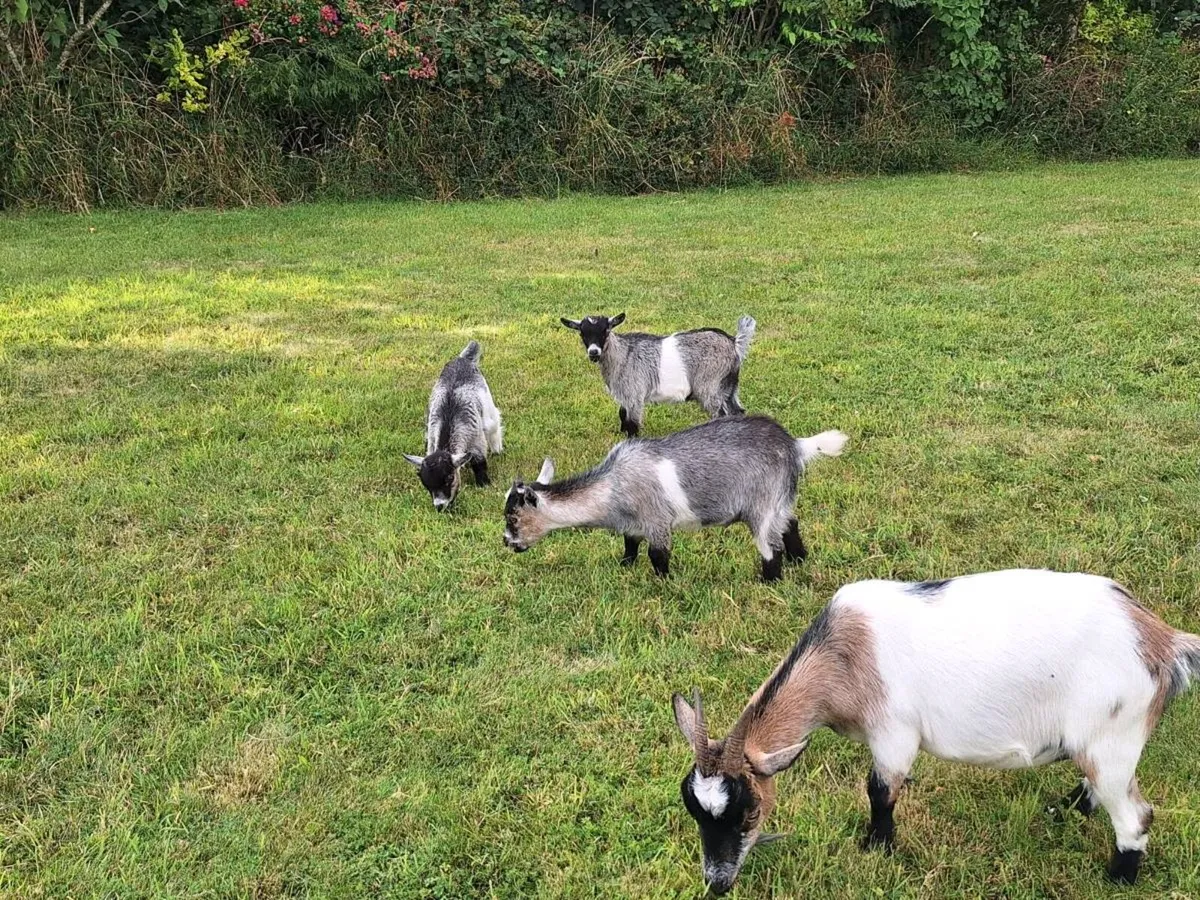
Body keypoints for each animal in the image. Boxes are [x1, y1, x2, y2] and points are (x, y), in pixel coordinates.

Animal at [404, 340, 502, 511]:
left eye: (449, 477)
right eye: (425, 484)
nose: (439, 506)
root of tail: (462, 359)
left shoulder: (476, 441)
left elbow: (479, 463)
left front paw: (484, 484)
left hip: (487, 405)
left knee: (494, 424)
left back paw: (497, 448)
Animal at [502, 415, 847, 581]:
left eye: (513, 517)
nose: (507, 542)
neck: (612, 487)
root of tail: (794, 445)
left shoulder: (657, 520)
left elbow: (658, 555)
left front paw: (665, 583)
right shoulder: (633, 525)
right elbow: (630, 546)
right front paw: (624, 567)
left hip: (762, 505)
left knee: (770, 547)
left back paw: (769, 582)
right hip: (781, 500)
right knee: (790, 524)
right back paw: (799, 559)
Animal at [560, 313, 756, 436]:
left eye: (605, 331)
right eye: (582, 333)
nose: (594, 352)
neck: (622, 354)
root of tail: (734, 343)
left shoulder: (635, 394)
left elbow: (632, 423)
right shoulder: (626, 394)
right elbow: (622, 415)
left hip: (710, 387)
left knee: (721, 414)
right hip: (729, 387)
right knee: (737, 412)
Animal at [672, 569, 1200, 893]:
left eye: (747, 811)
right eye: (696, 813)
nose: (717, 884)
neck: (845, 656)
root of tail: (1162, 641)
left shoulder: (893, 736)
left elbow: (879, 790)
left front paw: (877, 847)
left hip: (1114, 736)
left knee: (1135, 815)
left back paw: (1118, 878)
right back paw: (1064, 809)